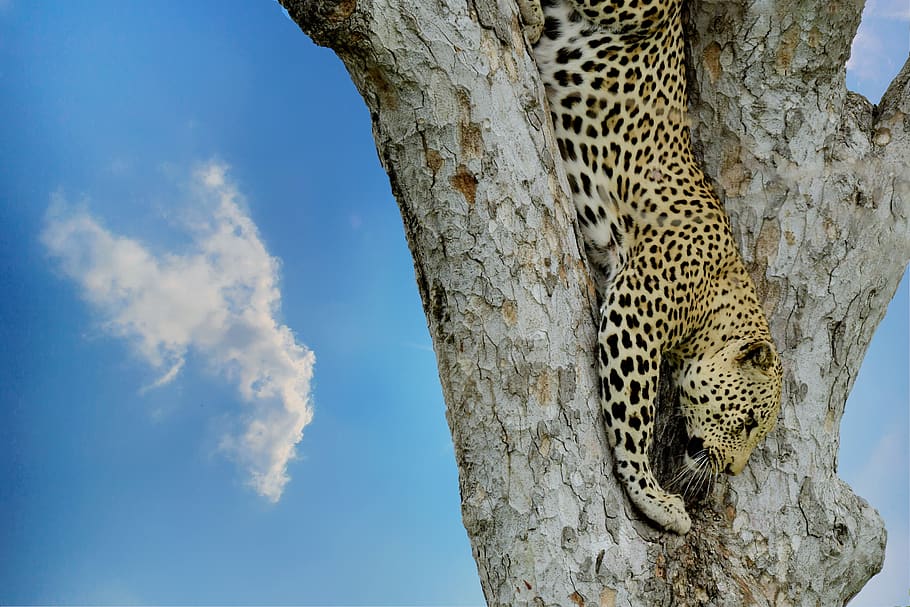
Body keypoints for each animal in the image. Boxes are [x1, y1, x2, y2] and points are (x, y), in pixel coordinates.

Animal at [518, 0, 783, 534]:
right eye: (747, 422)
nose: (734, 469)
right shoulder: (636, 308)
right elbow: (633, 414)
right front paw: (653, 496)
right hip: (641, 10)